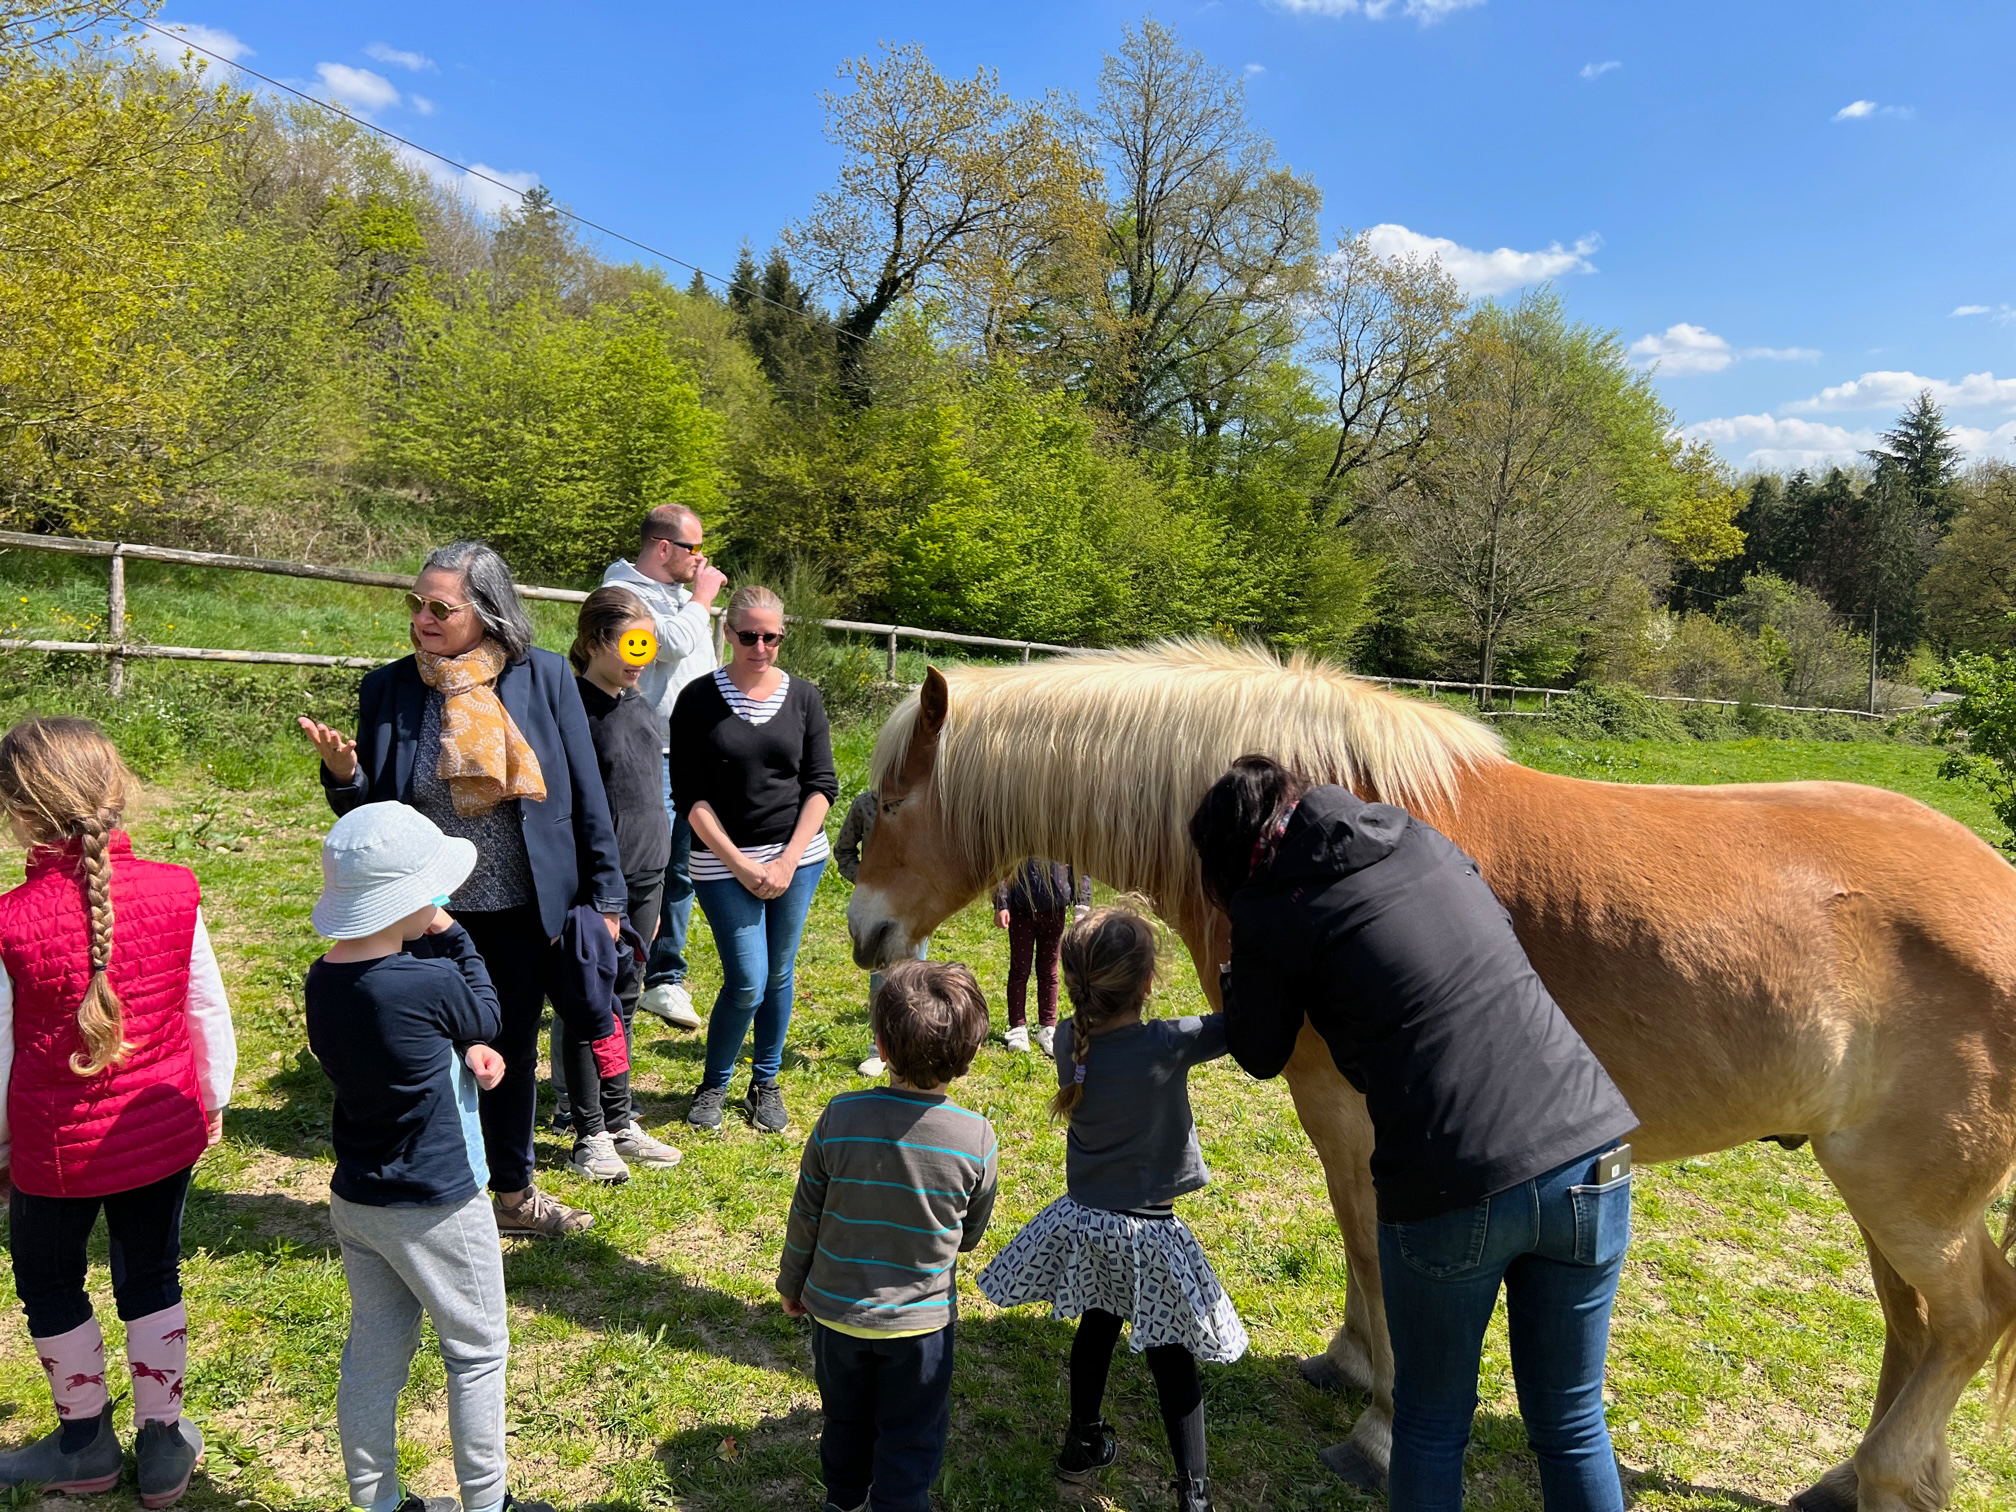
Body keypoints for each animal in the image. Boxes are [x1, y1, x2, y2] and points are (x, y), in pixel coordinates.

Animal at [842, 645, 2016, 1507]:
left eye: (890, 804)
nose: (865, 937)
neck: (1336, 828)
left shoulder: (1358, 1115)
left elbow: (1371, 1240)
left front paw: (1376, 1425)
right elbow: (1354, 1241)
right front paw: (1351, 1363)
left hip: (1907, 1196)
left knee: (1969, 1318)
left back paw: (1884, 1472)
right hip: (1874, 1193)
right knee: (1914, 1327)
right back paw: (1858, 1480)